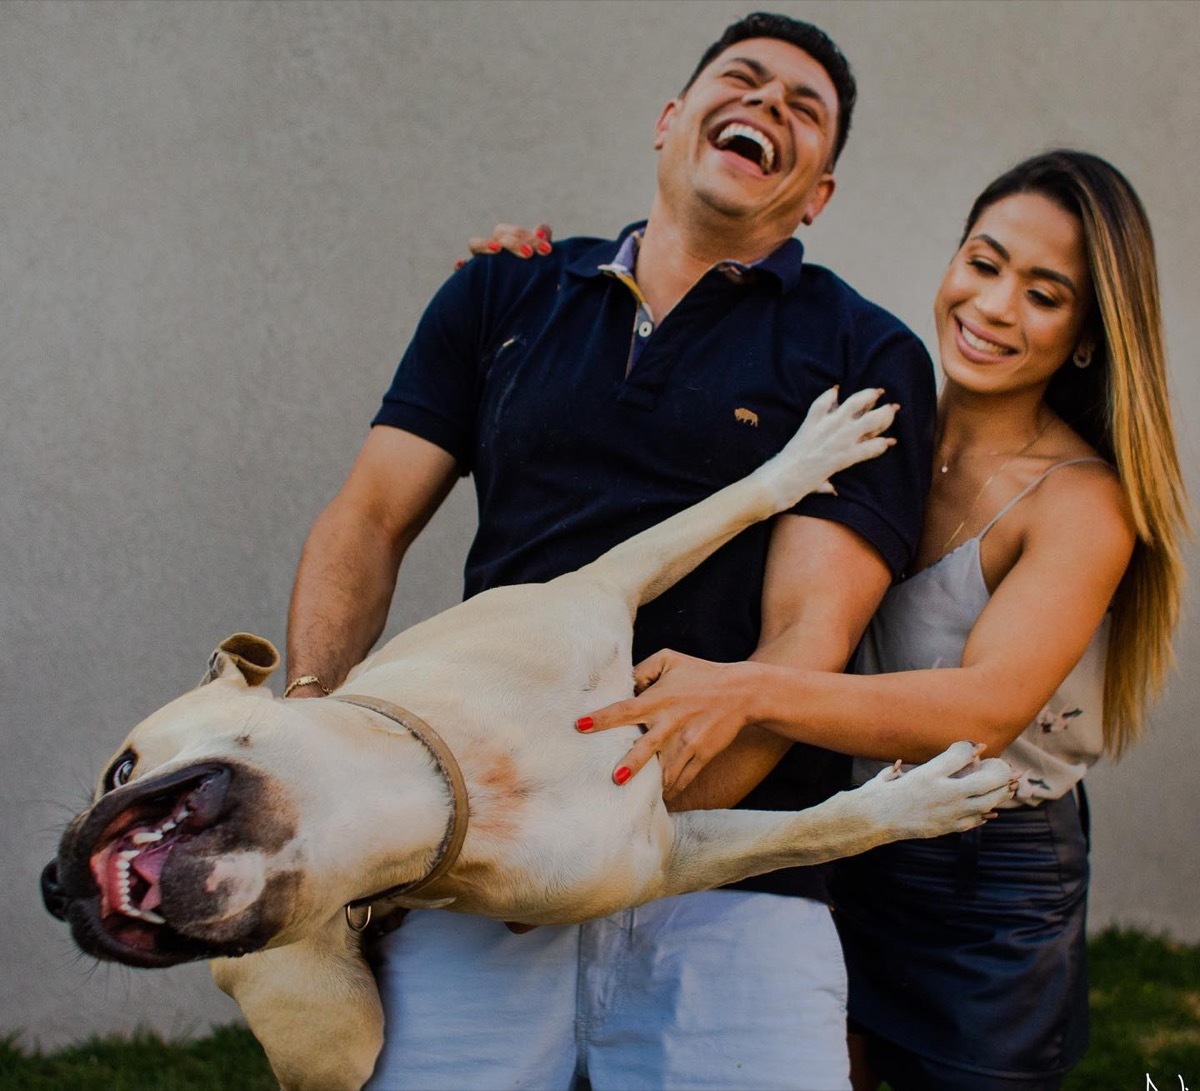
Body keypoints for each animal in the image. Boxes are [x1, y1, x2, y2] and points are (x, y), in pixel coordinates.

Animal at [42, 386, 1012, 1084]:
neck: (451, 772)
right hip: (327, 1028)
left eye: (118, 769)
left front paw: (804, 458)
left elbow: (720, 509)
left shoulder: (609, 583)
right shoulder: (668, 857)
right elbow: (812, 829)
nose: (54, 884)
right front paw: (924, 803)